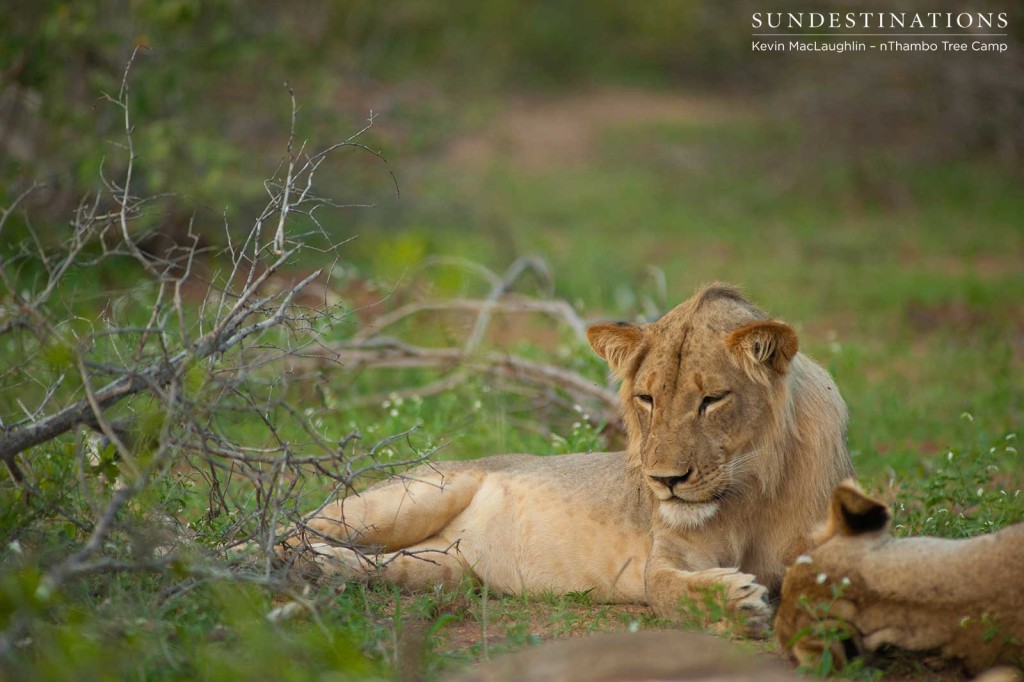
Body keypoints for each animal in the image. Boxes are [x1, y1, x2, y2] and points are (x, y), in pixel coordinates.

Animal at [280, 280, 856, 630]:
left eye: (712, 400)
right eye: (647, 399)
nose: (665, 481)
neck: (752, 489)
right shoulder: (670, 555)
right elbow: (665, 588)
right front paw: (740, 600)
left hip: (444, 568)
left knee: (379, 566)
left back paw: (324, 567)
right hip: (408, 498)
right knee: (293, 527)